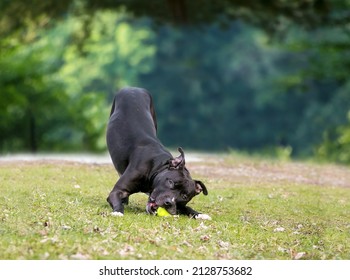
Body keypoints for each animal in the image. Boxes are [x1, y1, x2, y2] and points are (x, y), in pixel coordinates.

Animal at [106, 87, 211, 219]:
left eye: (184, 196)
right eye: (171, 182)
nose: (168, 202)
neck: (156, 166)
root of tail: (133, 88)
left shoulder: (178, 205)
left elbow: (186, 207)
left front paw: (199, 214)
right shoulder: (118, 191)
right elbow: (117, 200)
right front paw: (118, 211)